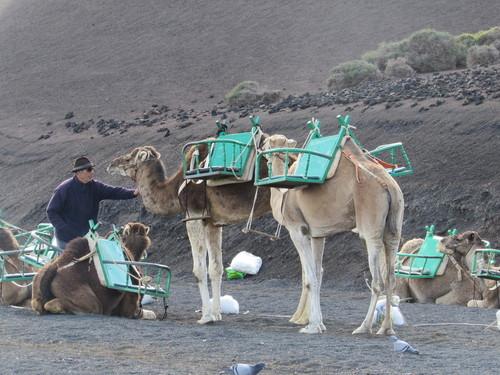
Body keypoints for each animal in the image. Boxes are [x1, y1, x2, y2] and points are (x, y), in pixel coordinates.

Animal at [105, 145, 270, 324]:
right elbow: (216, 268)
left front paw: (206, 317)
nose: (111, 164)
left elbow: (199, 269)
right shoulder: (212, 221)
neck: (175, 187)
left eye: (129, 158)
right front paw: (216, 314)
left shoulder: (193, 214)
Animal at [264, 134, 404, 334]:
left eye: (266, 144)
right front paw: (318, 323)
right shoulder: (317, 234)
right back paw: (386, 328)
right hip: (394, 227)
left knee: (377, 280)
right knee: (391, 277)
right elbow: (318, 273)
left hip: (370, 225)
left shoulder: (297, 229)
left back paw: (364, 327)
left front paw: (311, 326)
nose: (263, 152)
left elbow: (310, 278)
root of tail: (388, 185)